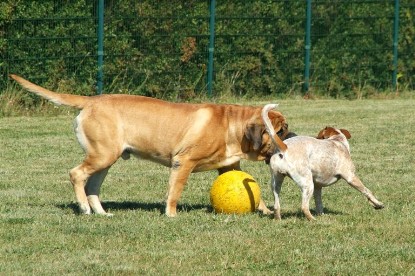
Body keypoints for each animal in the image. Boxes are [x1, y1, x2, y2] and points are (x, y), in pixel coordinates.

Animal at [8, 74, 290, 217]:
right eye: (280, 131)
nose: (292, 136)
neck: (232, 125)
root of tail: (91, 101)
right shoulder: (183, 163)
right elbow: (174, 191)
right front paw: (171, 214)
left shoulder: (229, 167)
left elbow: (253, 191)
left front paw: (266, 210)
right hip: (102, 155)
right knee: (76, 174)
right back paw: (84, 209)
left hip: (105, 159)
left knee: (92, 186)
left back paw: (101, 212)